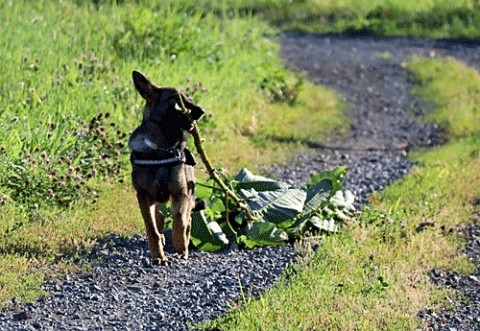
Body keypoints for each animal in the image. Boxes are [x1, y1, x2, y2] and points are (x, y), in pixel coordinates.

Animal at [127, 70, 204, 264]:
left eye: (189, 97)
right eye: (178, 99)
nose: (202, 111)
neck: (162, 149)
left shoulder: (181, 194)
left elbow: (180, 220)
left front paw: (180, 245)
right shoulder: (144, 198)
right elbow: (152, 229)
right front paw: (159, 256)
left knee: (187, 220)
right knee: (159, 219)